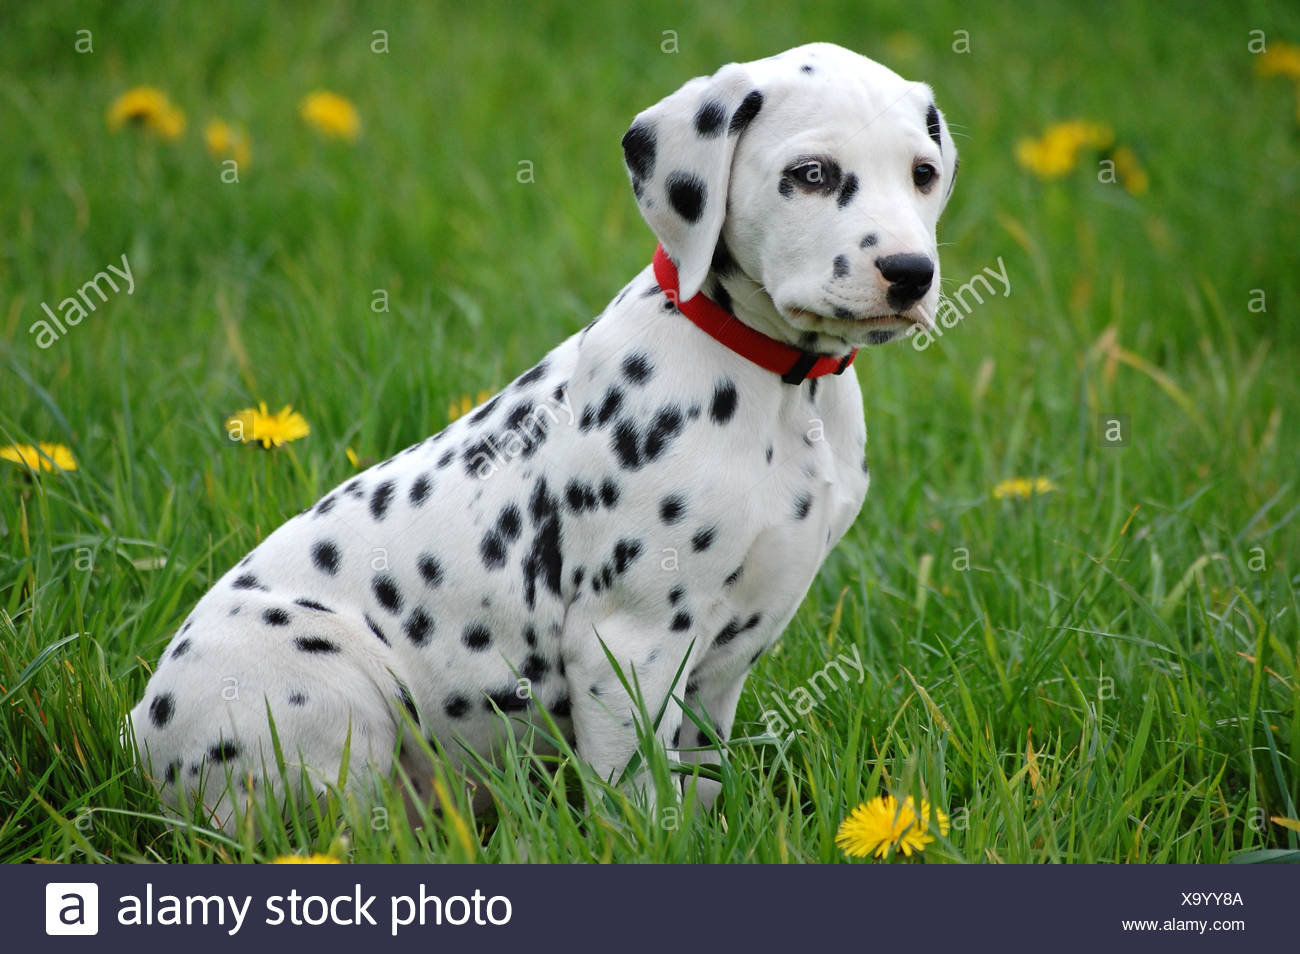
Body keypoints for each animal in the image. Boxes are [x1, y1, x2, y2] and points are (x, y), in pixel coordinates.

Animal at [129, 42, 956, 831]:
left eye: (923, 173)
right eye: (811, 175)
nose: (910, 272)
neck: (779, 387)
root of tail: (140, 732)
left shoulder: (725, 659)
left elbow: (702, 777)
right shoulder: (629, 645)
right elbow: (635, 798)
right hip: (327, 686)